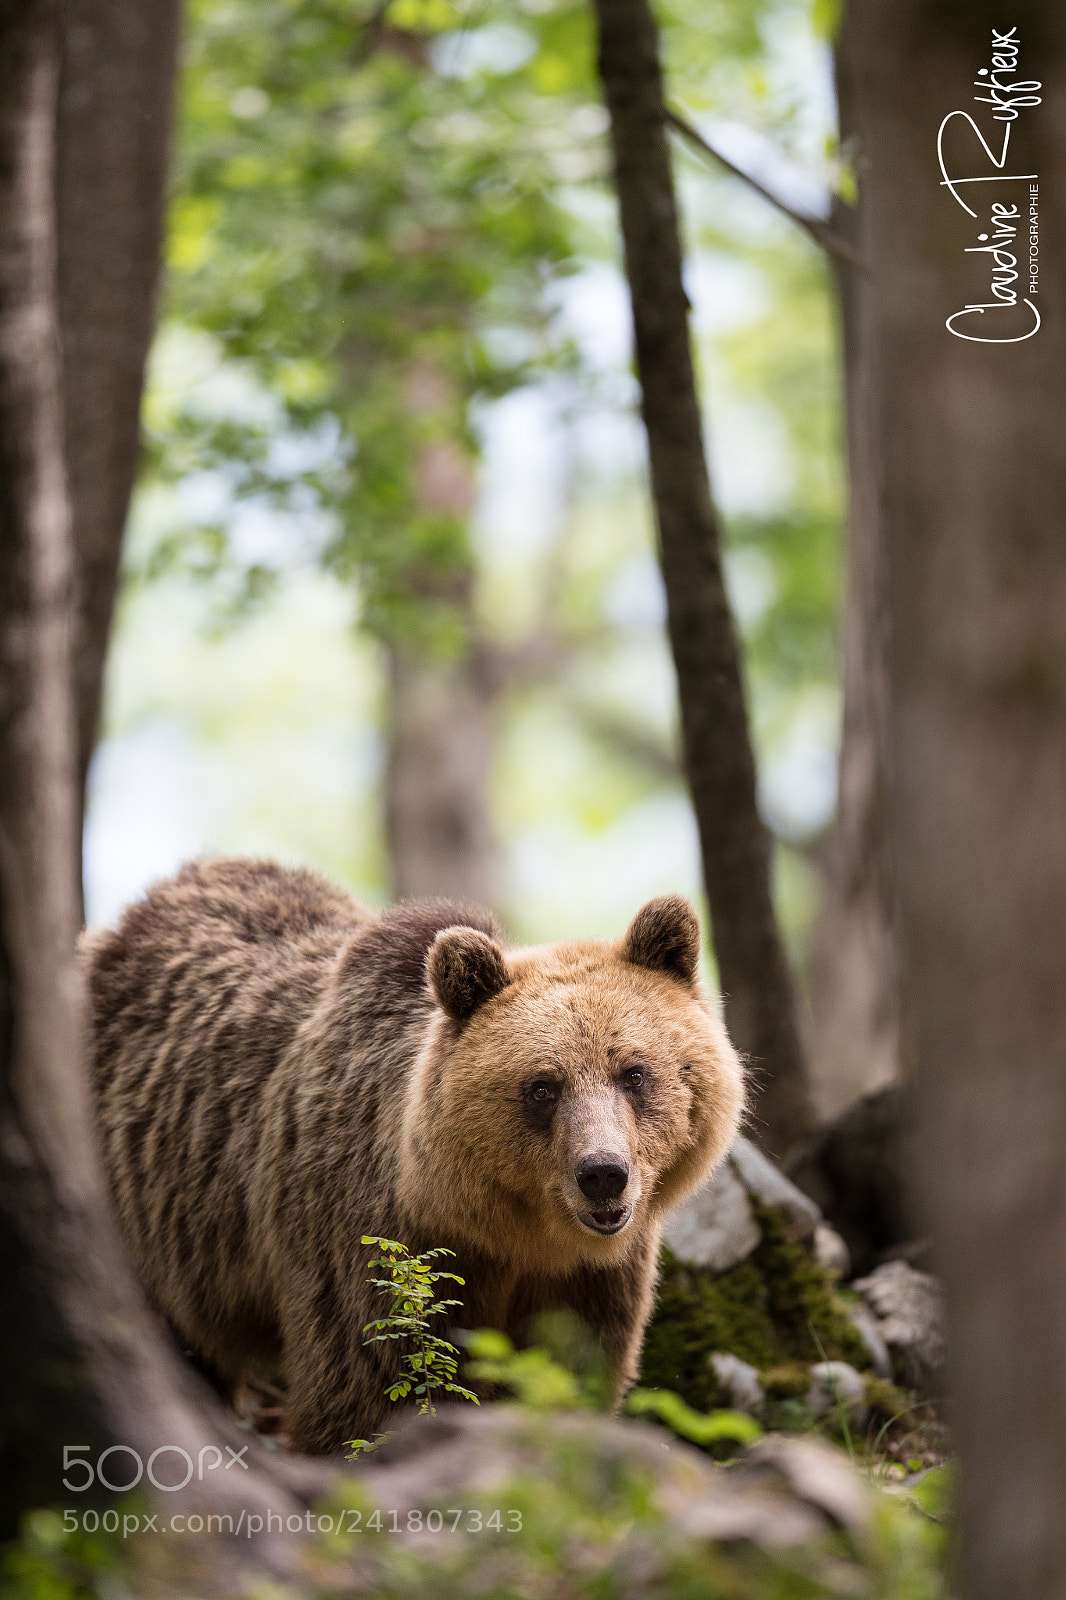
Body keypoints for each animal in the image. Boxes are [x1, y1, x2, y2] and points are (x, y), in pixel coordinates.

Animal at [82, 857, 744, 1455]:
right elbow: (374, 1381)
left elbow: (570, 1368)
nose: (603, 1174)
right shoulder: (370, 1238)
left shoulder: (591, 1277)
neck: (511, 1232)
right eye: (542, 1086)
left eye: (634, 1072)